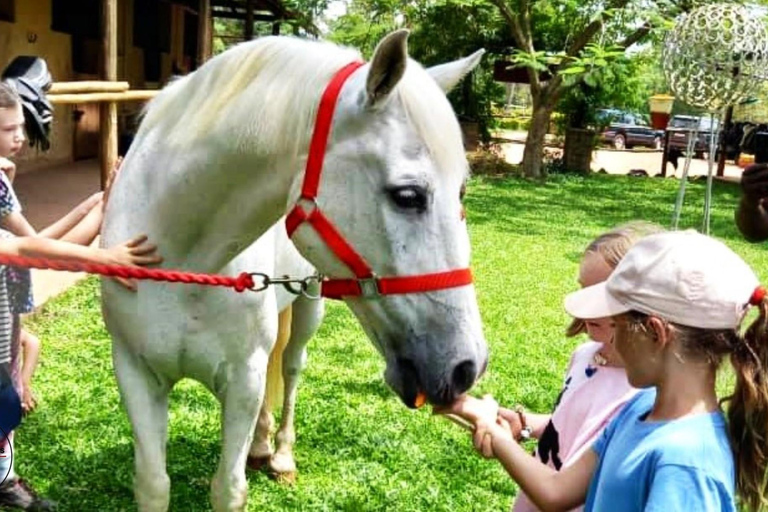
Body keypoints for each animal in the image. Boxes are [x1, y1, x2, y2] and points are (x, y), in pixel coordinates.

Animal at [100, 32, 486, 512]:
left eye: (462, 192)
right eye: (408, 195)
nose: (467, 367)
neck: (182, 261)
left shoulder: (242, 381)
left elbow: (228, 488)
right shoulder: (135, 374)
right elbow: (154, 483)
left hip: (308, 306)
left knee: (290, 367)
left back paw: (280, 453)